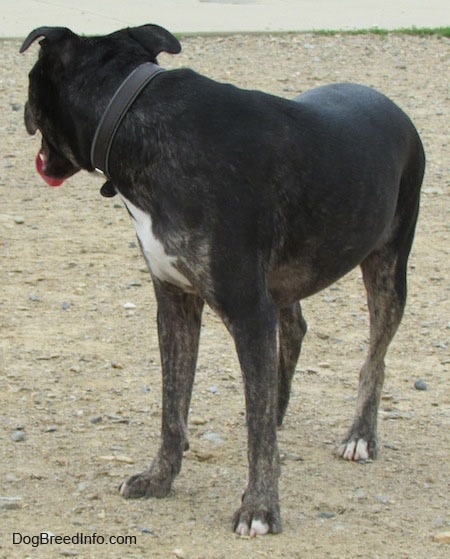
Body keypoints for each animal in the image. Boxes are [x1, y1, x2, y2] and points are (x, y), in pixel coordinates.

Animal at [19, 26, 424, 540]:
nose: (21, 111)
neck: (136, 116)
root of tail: (393, 108)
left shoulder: (248, 311)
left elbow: (255, 434)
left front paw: (260, 507)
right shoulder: (176, 305)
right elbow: (173, 407)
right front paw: (160, 477)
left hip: (388, 268)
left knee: (375, 359)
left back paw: (360, 436)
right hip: (284, 281)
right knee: (293, 332)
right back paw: (279, 408)